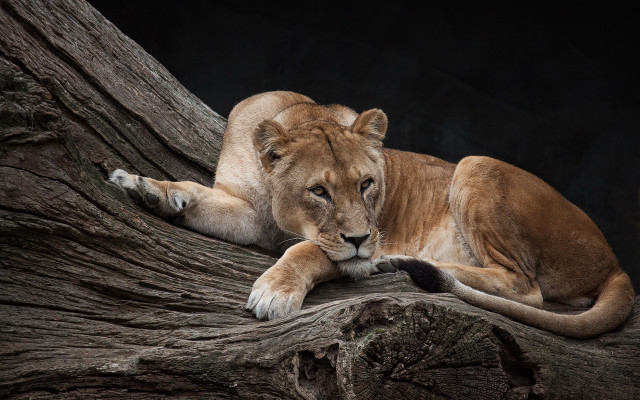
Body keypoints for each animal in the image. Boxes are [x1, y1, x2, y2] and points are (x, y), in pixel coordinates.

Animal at [110, 91, 635, 338]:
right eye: (319, 191)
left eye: (367, 184)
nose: (364, 240)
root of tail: (617, 263)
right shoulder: (245, 210)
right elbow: (196, 194)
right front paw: (146, 187)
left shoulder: (341, 248)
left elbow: (308, 251)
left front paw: (275, 293)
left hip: (475, 164)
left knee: (526, 288)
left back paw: (397, 262)